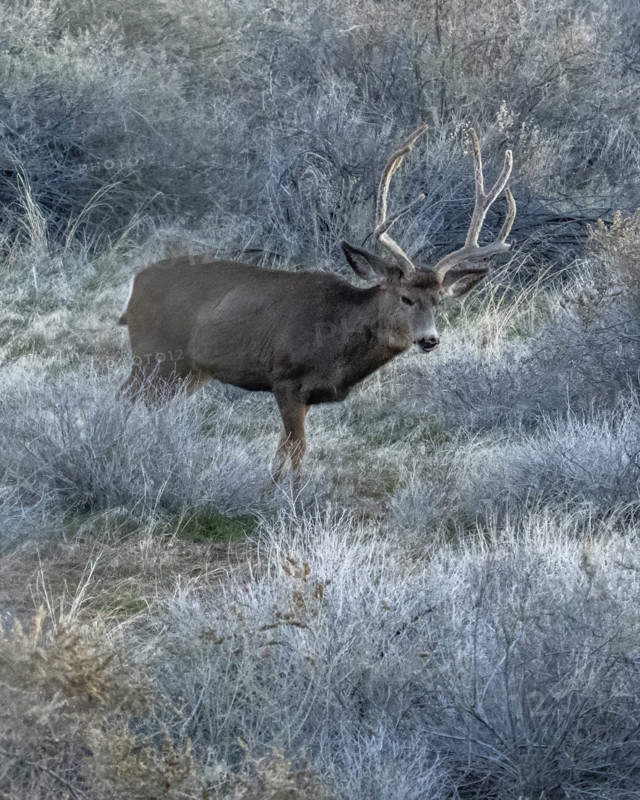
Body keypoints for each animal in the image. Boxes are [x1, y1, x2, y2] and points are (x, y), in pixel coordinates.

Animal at [119, 126, 516, 485]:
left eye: (438, 302)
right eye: (406, 297)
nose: (430, 339)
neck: (335, 342)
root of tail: (136, 284)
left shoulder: (305, 395)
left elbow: (283, 451)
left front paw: (273, 491)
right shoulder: (285, 380)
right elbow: (297, 450)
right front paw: (290, 501)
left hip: (191, 369)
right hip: (153, 351)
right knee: (127, 396)